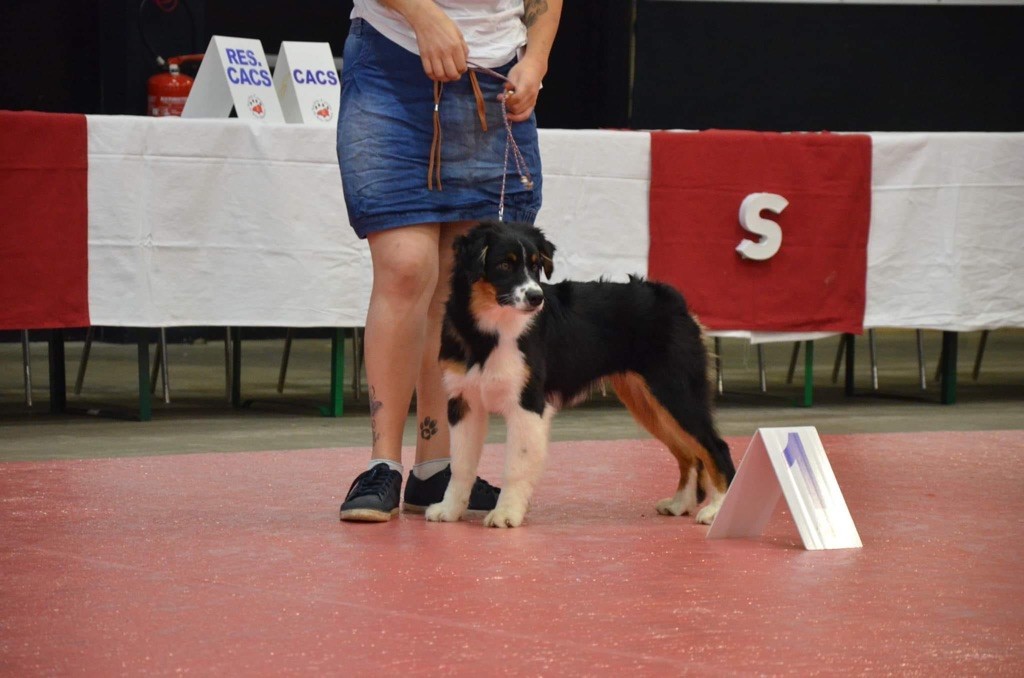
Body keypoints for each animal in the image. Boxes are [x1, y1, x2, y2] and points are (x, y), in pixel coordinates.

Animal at [424, 221, 736, 528]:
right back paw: (680, 503)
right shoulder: (463, 400)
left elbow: (516, 465)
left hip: (675, 390)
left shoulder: (527, 401)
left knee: (715, 447)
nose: (536, 298)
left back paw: (717, 510)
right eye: (504, 264)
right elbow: (460, 465)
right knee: (688, 453)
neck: (489, 330)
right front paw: (449, 510)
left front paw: (506, 514)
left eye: (536, 266)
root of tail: (675, 301)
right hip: (647, 400)